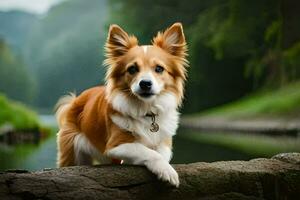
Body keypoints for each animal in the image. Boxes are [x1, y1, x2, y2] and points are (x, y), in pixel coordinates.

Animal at [54, 22, 188, 187]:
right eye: (132, 69)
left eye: (159, 69)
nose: (145, 83)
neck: (146, 110)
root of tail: (75, 100)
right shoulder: (115, 146)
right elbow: (147, 151)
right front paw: (167, 171)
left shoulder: (164, 142)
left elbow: (161, 153)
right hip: (72, 152)